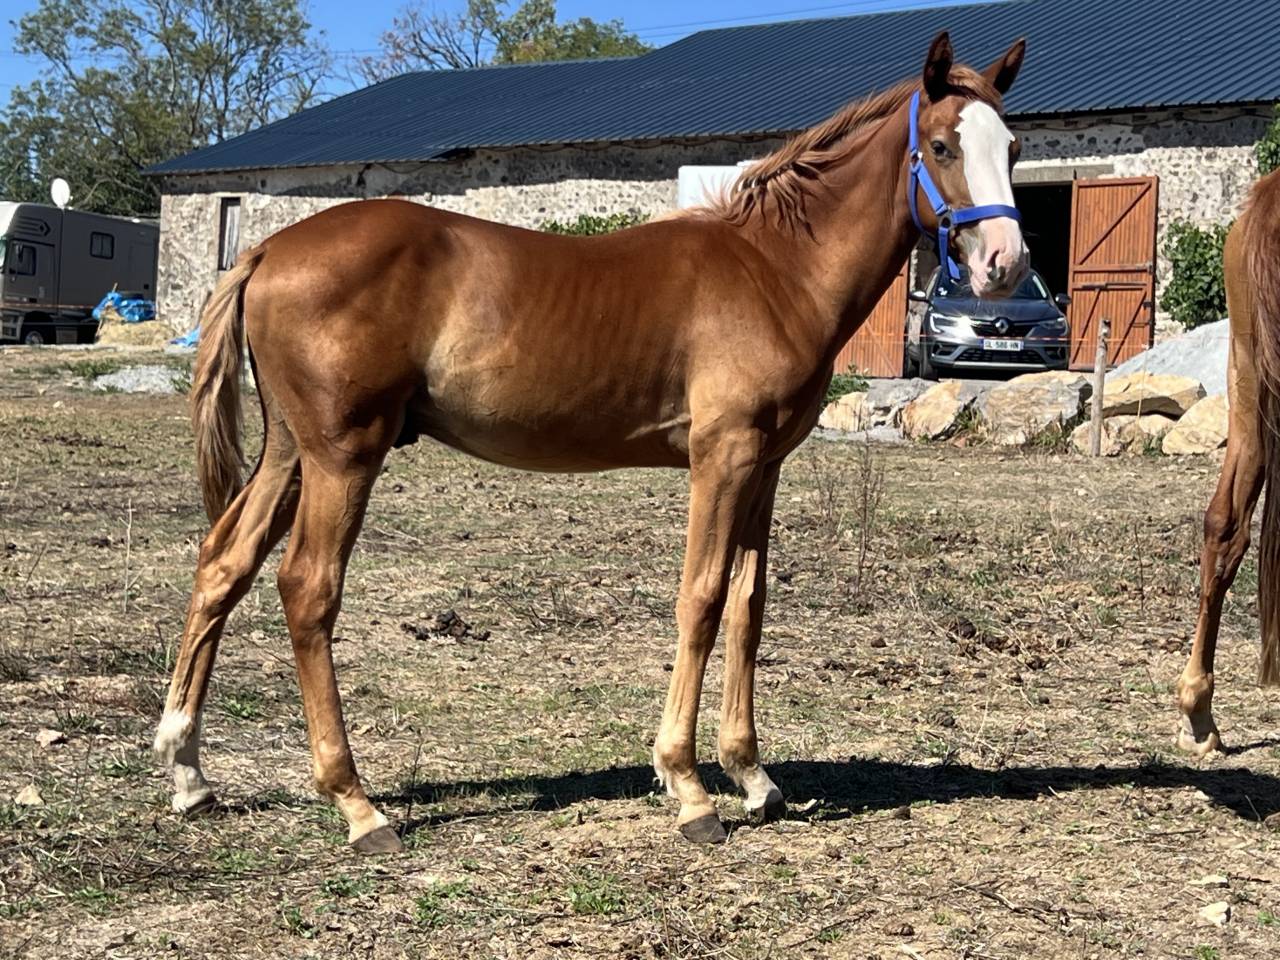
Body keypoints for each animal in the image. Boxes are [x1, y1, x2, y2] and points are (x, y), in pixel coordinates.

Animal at [153, 32, 1030, 853]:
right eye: (943, 145)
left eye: (1014, 148)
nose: (1004, 265)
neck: (773, 269)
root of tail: (267, 248)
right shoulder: (722, 457)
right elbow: (701, 598)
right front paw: (688, 787)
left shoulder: (766, 464)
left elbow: (748, 603)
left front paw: (752, 776)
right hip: (343, 455)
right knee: (307, 588)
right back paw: (357, 805)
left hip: (290, 453)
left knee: (224, 564)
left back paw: (189, 771)